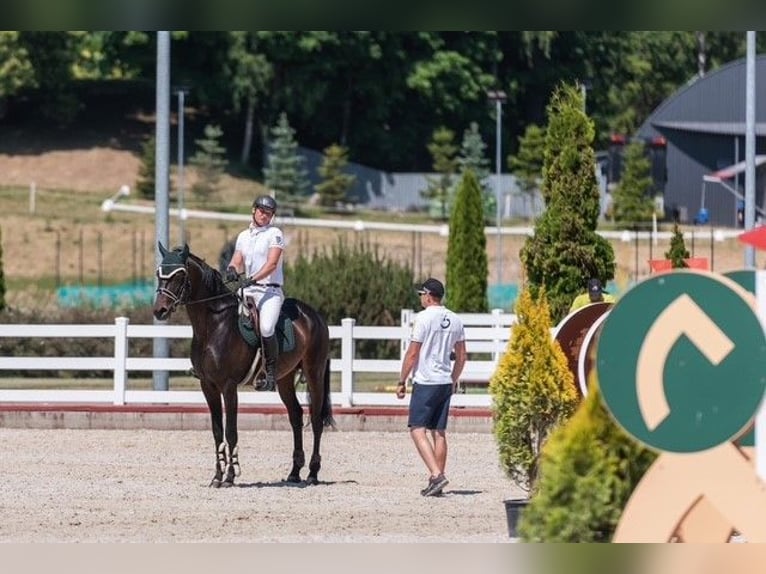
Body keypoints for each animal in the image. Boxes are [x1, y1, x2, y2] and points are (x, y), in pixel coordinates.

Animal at [154, 243, 336, 490]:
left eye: (179, 275)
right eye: (159, 274)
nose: (159, 311)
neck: (213, 326)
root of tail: (315, 315)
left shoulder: (229, 386)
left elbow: (231, 431)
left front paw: (231, 476)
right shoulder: (208, 386)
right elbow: (217, 432)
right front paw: (217, 477)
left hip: (314, 373)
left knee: (316, 420)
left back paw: (313, 473)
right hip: (285, 379)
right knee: (296, 416)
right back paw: (294, 473)